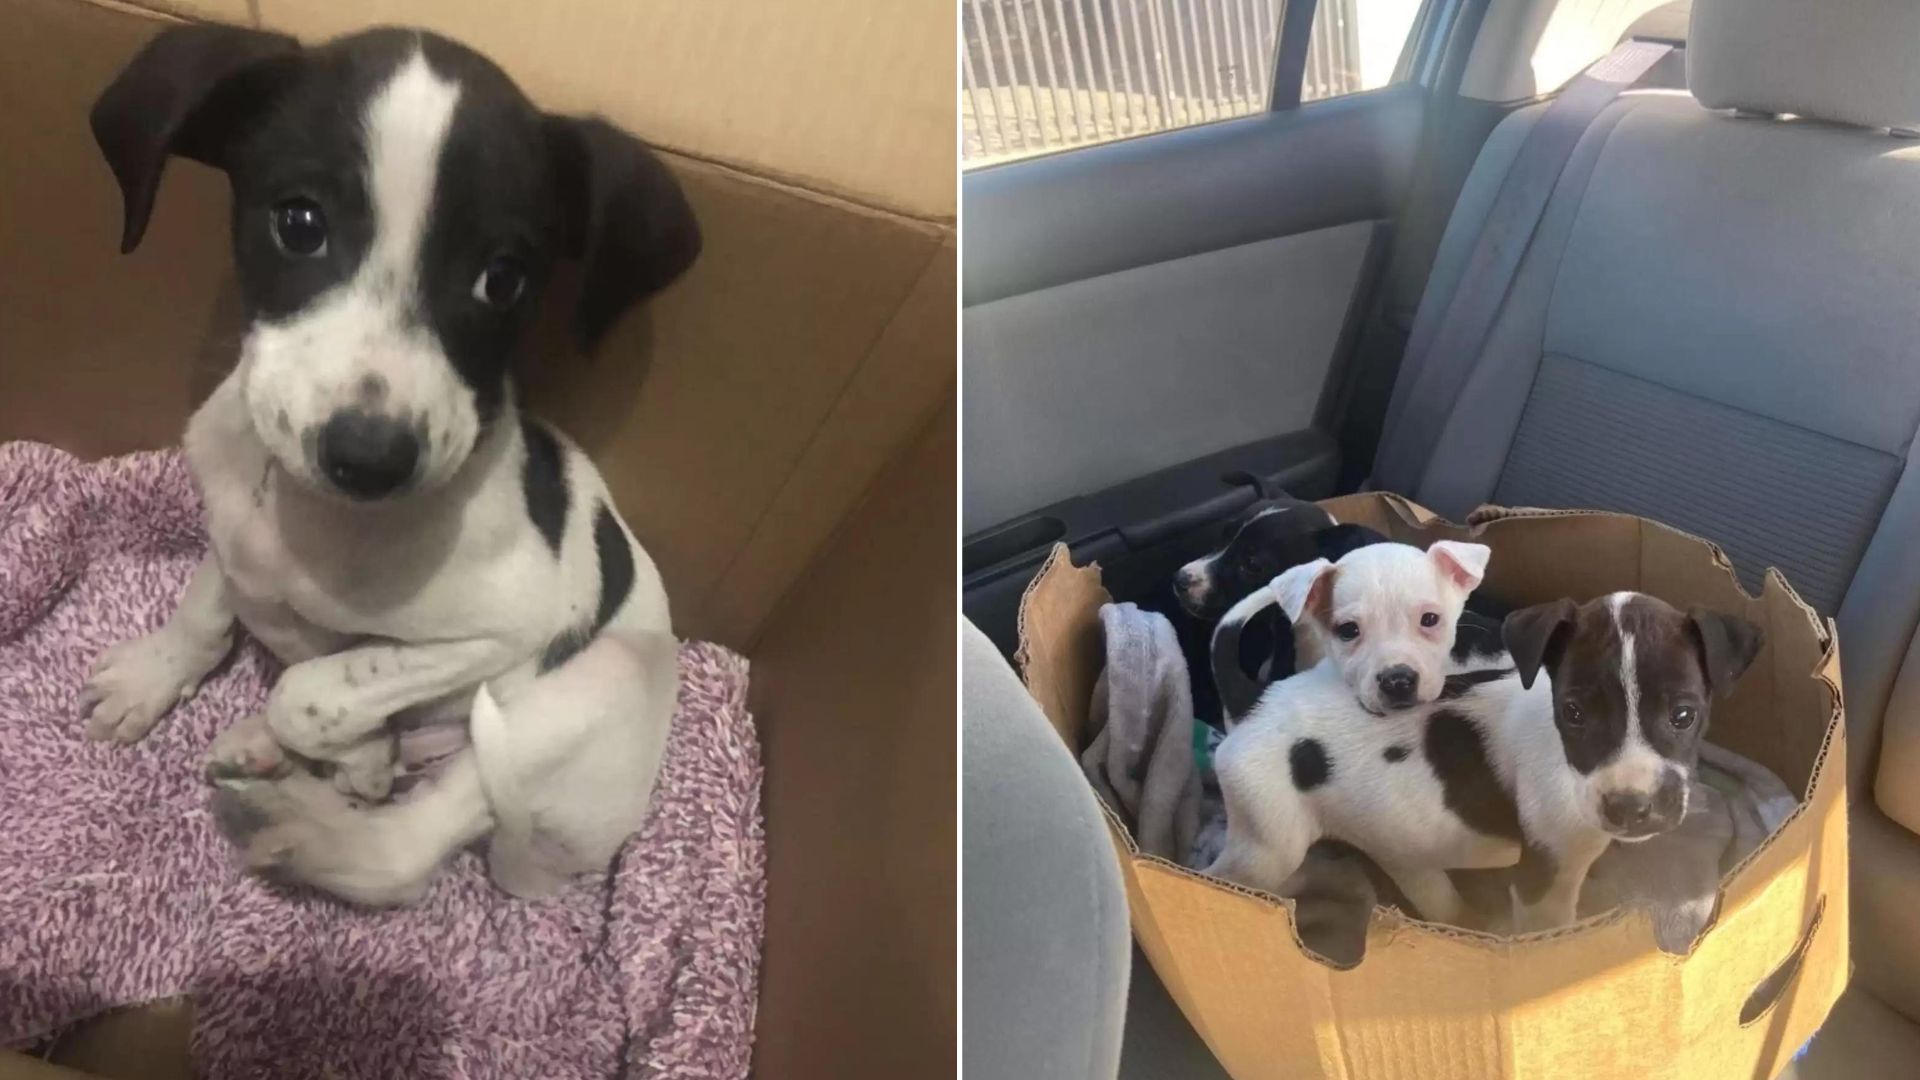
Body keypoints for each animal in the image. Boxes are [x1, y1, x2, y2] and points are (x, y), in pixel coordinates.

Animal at [80, 23, 706, 899]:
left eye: (503, 279)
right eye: (299, 224)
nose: (370, 459)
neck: (306, 517)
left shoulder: (501, 628)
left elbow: (314, 688)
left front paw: (344, 736)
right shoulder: (231, 532)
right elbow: (207, 609)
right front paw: (154, 675)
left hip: (575, 696)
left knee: (405, 846)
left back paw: (305, 821)